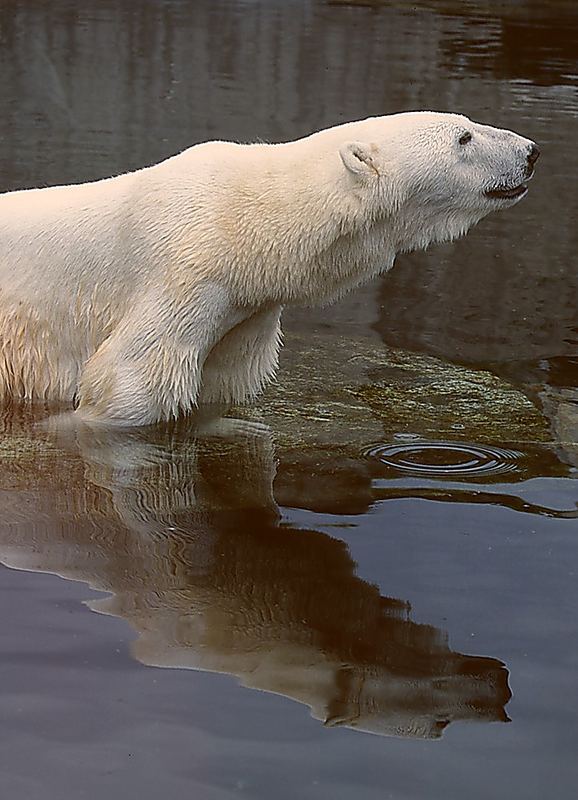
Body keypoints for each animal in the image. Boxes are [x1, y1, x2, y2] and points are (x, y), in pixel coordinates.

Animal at [0, 112, 536, 428]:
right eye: (463, 136)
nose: (530, 151)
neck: (244, 224)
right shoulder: (182, 276)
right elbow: (129, 384)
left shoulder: (245, 311)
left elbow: (224, 384)